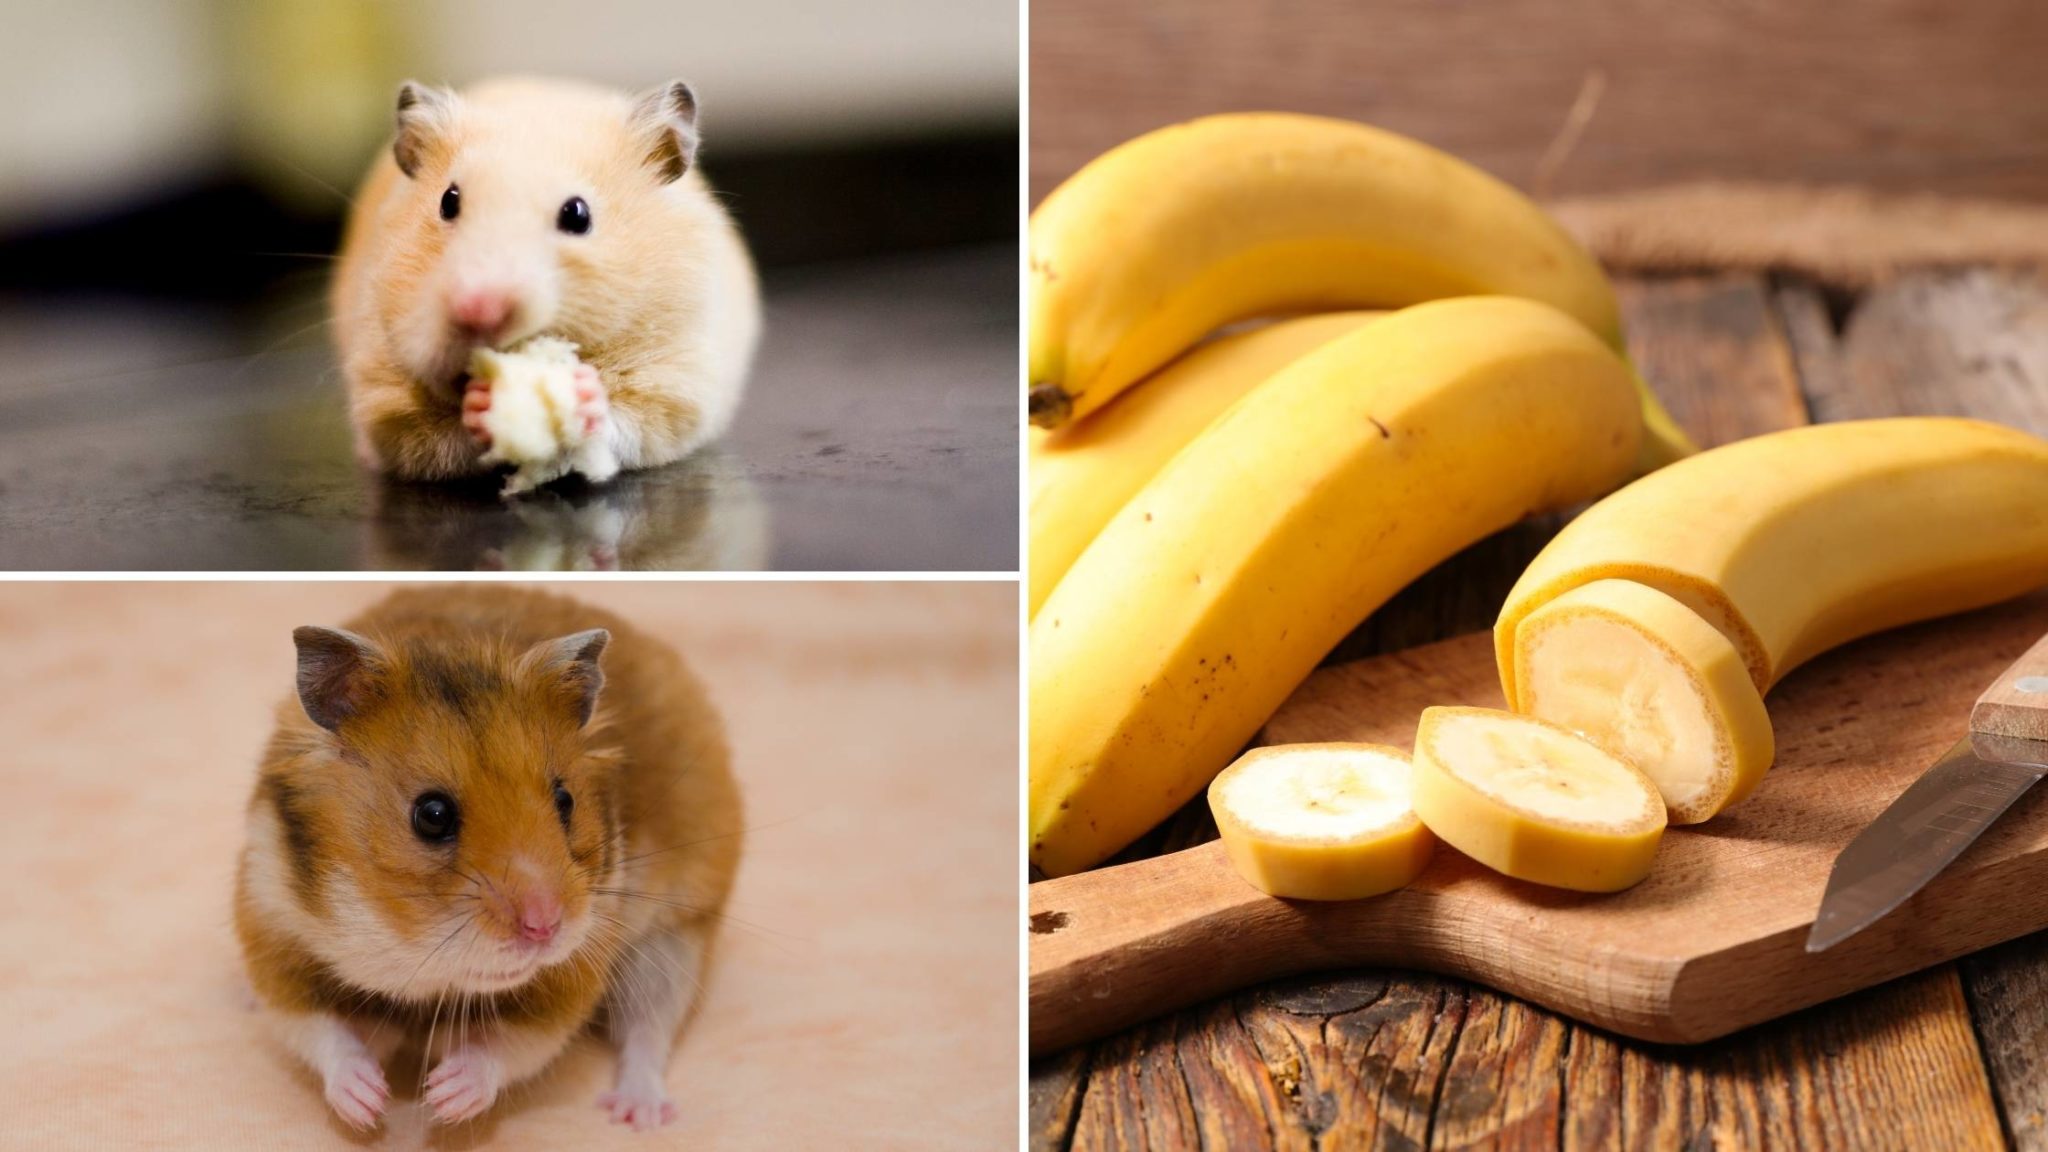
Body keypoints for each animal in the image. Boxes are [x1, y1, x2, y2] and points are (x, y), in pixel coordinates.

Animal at [233, 586, 741, 1132]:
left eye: (565, 800)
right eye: (432, 815)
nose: (546, 927)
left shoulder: (573, 972)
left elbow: (510, 1045)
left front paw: (443, 1096)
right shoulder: (275, 928)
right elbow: (321, 1032)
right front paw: (369, 1104)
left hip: (672, 940)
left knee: (649, 1030)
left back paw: (639, 1115)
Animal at [331, 76, 762, 485]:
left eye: (577, 214)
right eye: (448, 201)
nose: (478, 310)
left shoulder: (676, 380)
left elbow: (633, 421)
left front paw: (585, 395)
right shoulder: (387, 402)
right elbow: (436, 437)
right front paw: (481, 404)